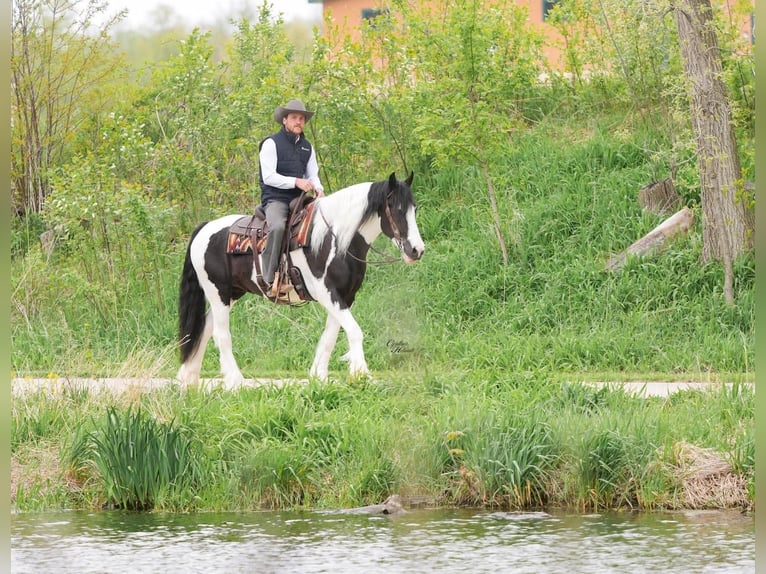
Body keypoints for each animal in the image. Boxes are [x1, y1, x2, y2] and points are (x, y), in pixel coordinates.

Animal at [176, 171, 425, 385]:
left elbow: (330, 336)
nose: (417, 250)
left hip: (230, 293)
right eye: (395, 208)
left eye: (414, 209)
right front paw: (361, 374)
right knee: (220, 334)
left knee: (205, 328)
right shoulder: (327, 292)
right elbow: (354, 331)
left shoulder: (345, 296)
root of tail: (204, 228)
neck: (334, 240)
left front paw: (319, 376)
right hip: (217, 292)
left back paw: (190, 376)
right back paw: (234, 381)